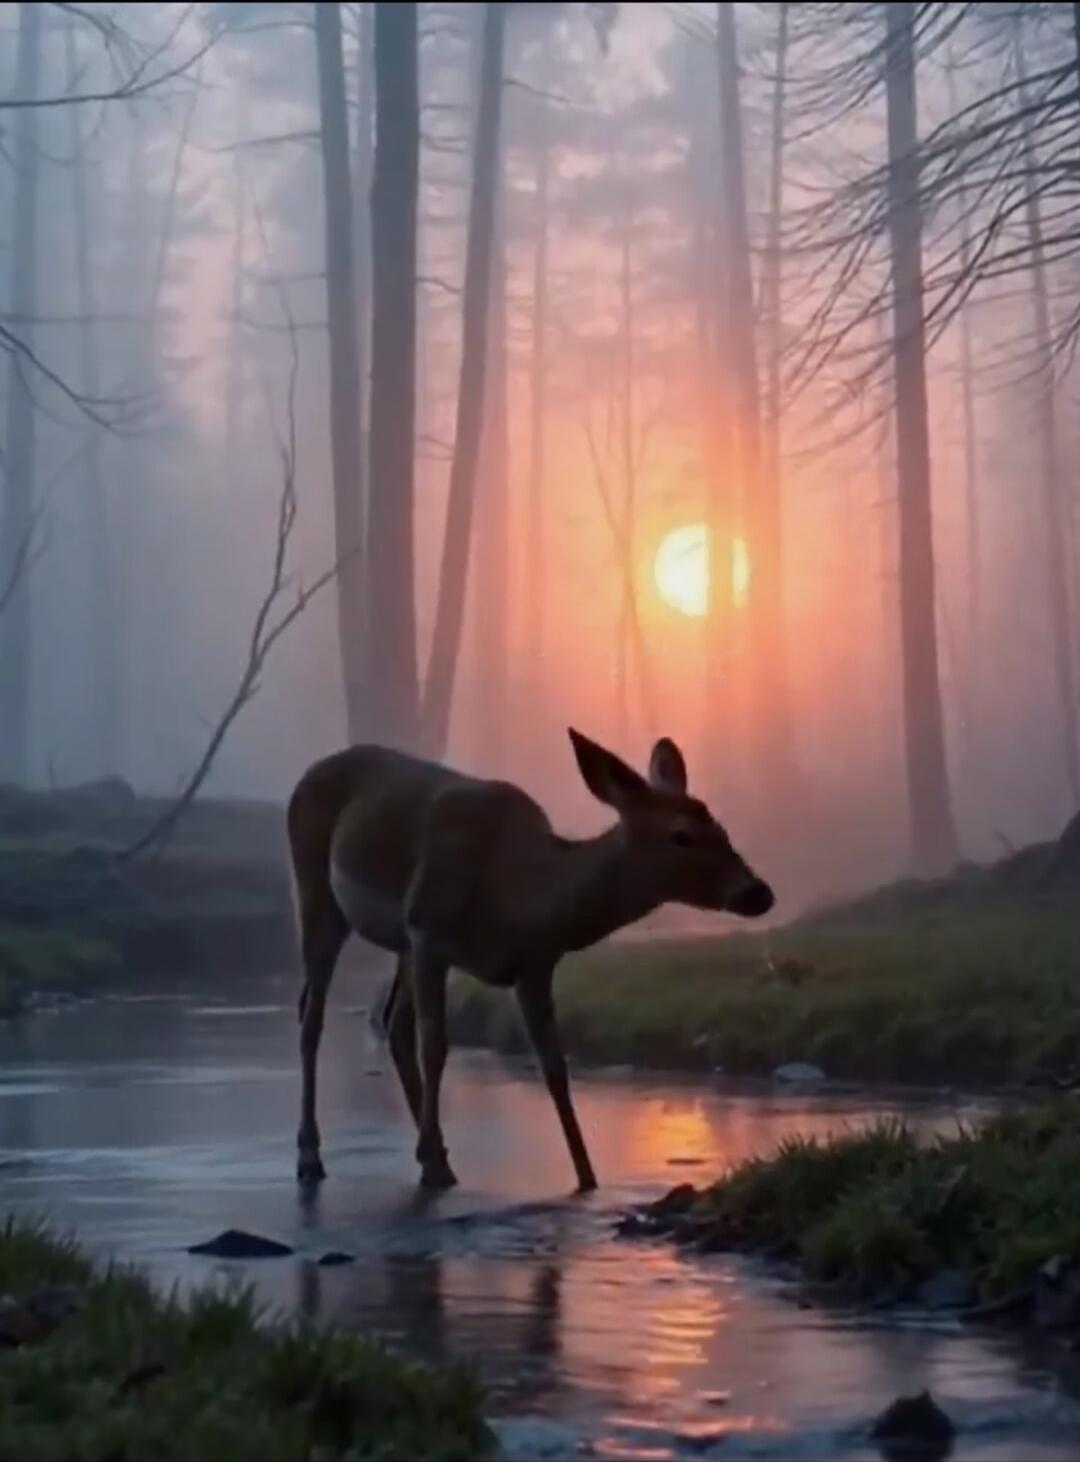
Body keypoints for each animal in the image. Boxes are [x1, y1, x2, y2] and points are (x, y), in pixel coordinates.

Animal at [287, 729, 774, 1194]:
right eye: (681, 835)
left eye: (719, 824)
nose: (759, 892)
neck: (521, 895)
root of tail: (310, 771)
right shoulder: (429, 931)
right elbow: (437, 1046)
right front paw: (432, 1163)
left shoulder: (534, 964)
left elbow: (554, 1066)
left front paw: (587, 1179)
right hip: (318, 890)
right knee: (313, 1016)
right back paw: (314, 1158)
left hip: (400, 941)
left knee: (393, 1023)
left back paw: (436, 1156)